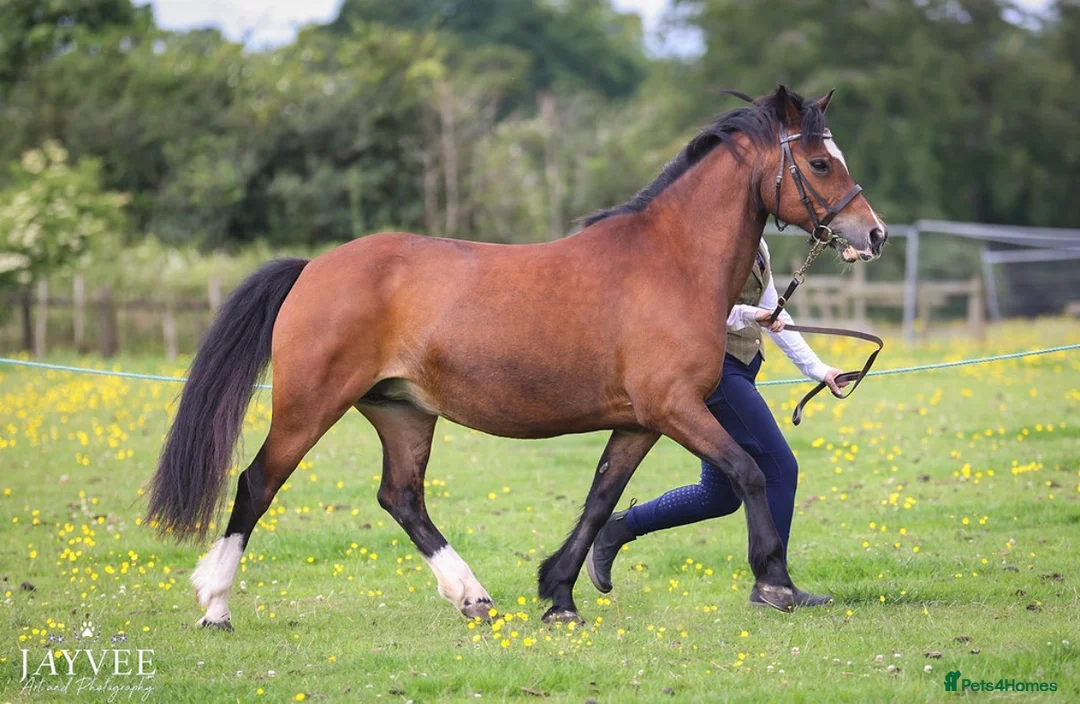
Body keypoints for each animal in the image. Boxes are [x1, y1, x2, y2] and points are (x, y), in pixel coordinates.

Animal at [147, 86, 887, 630]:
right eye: (821, 164)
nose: (873, 233)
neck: (671, 263)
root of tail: (313, 269)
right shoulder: (675, 409)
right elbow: (749, 473)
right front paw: (776, 582)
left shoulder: (639, 421)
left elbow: (600, 500)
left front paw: (558, 595)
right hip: (309, 406)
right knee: (257, 484)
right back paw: (215, 606)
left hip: (402, 413)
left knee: (401, 497)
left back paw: (472, 596)